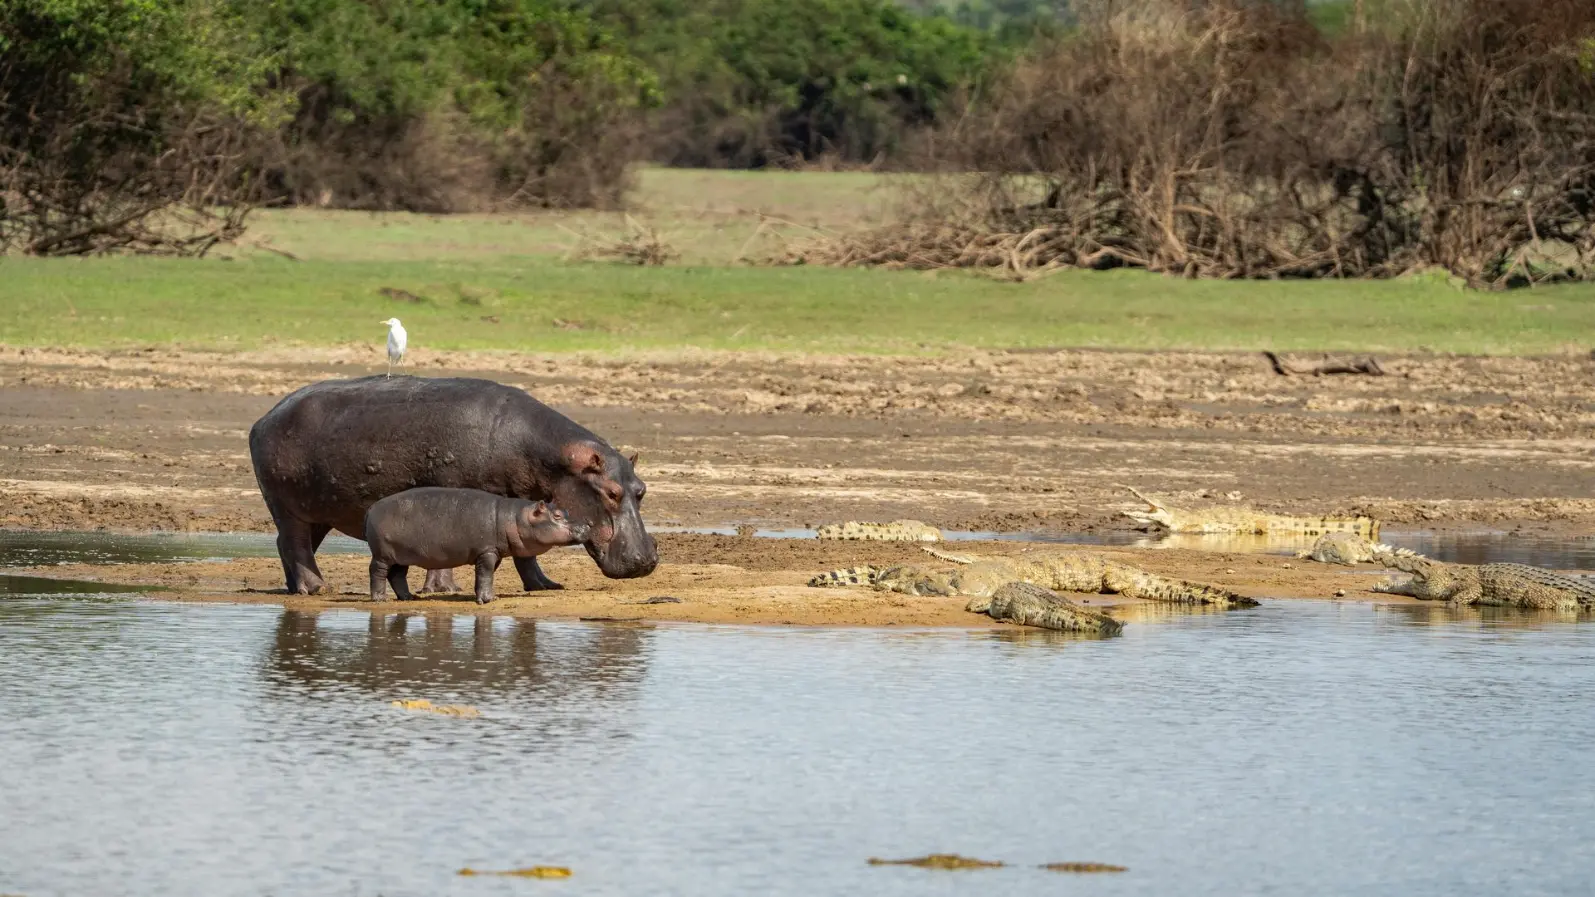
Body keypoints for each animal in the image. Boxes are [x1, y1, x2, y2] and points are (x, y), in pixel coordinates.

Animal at [365, 489, 585, 604]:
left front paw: (484, 596)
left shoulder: (493, 553)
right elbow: (486, 573)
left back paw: (408, 598)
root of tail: (372, 507)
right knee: (377, 571)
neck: (514, 518)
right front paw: (487, 600)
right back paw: (380, 599)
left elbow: (485, 575)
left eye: (565, 511)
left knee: (397, 575)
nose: (586, 525)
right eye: (557, 515)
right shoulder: (486, 551)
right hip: (383, 554)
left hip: (401, 555)